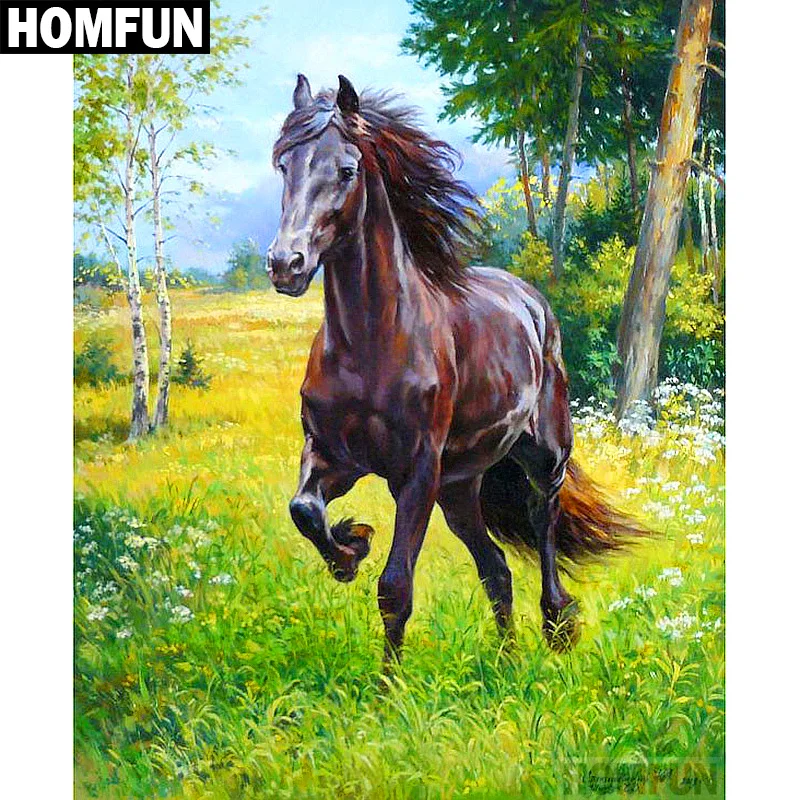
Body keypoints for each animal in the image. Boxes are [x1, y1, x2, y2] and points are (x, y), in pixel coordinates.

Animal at [267, 74, 645, 669]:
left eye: (346, 170)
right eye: (284, 164)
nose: (286, 264)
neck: (370, 343)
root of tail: (531, 302)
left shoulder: (416, 473)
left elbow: (395, 587)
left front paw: (388, 686)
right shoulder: (332, 455)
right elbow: (304, 508)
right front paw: (351, 546)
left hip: (543, 458)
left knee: (543, 523)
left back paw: (557, 626)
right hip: (461, 489)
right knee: (496, 568)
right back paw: (508, 662)